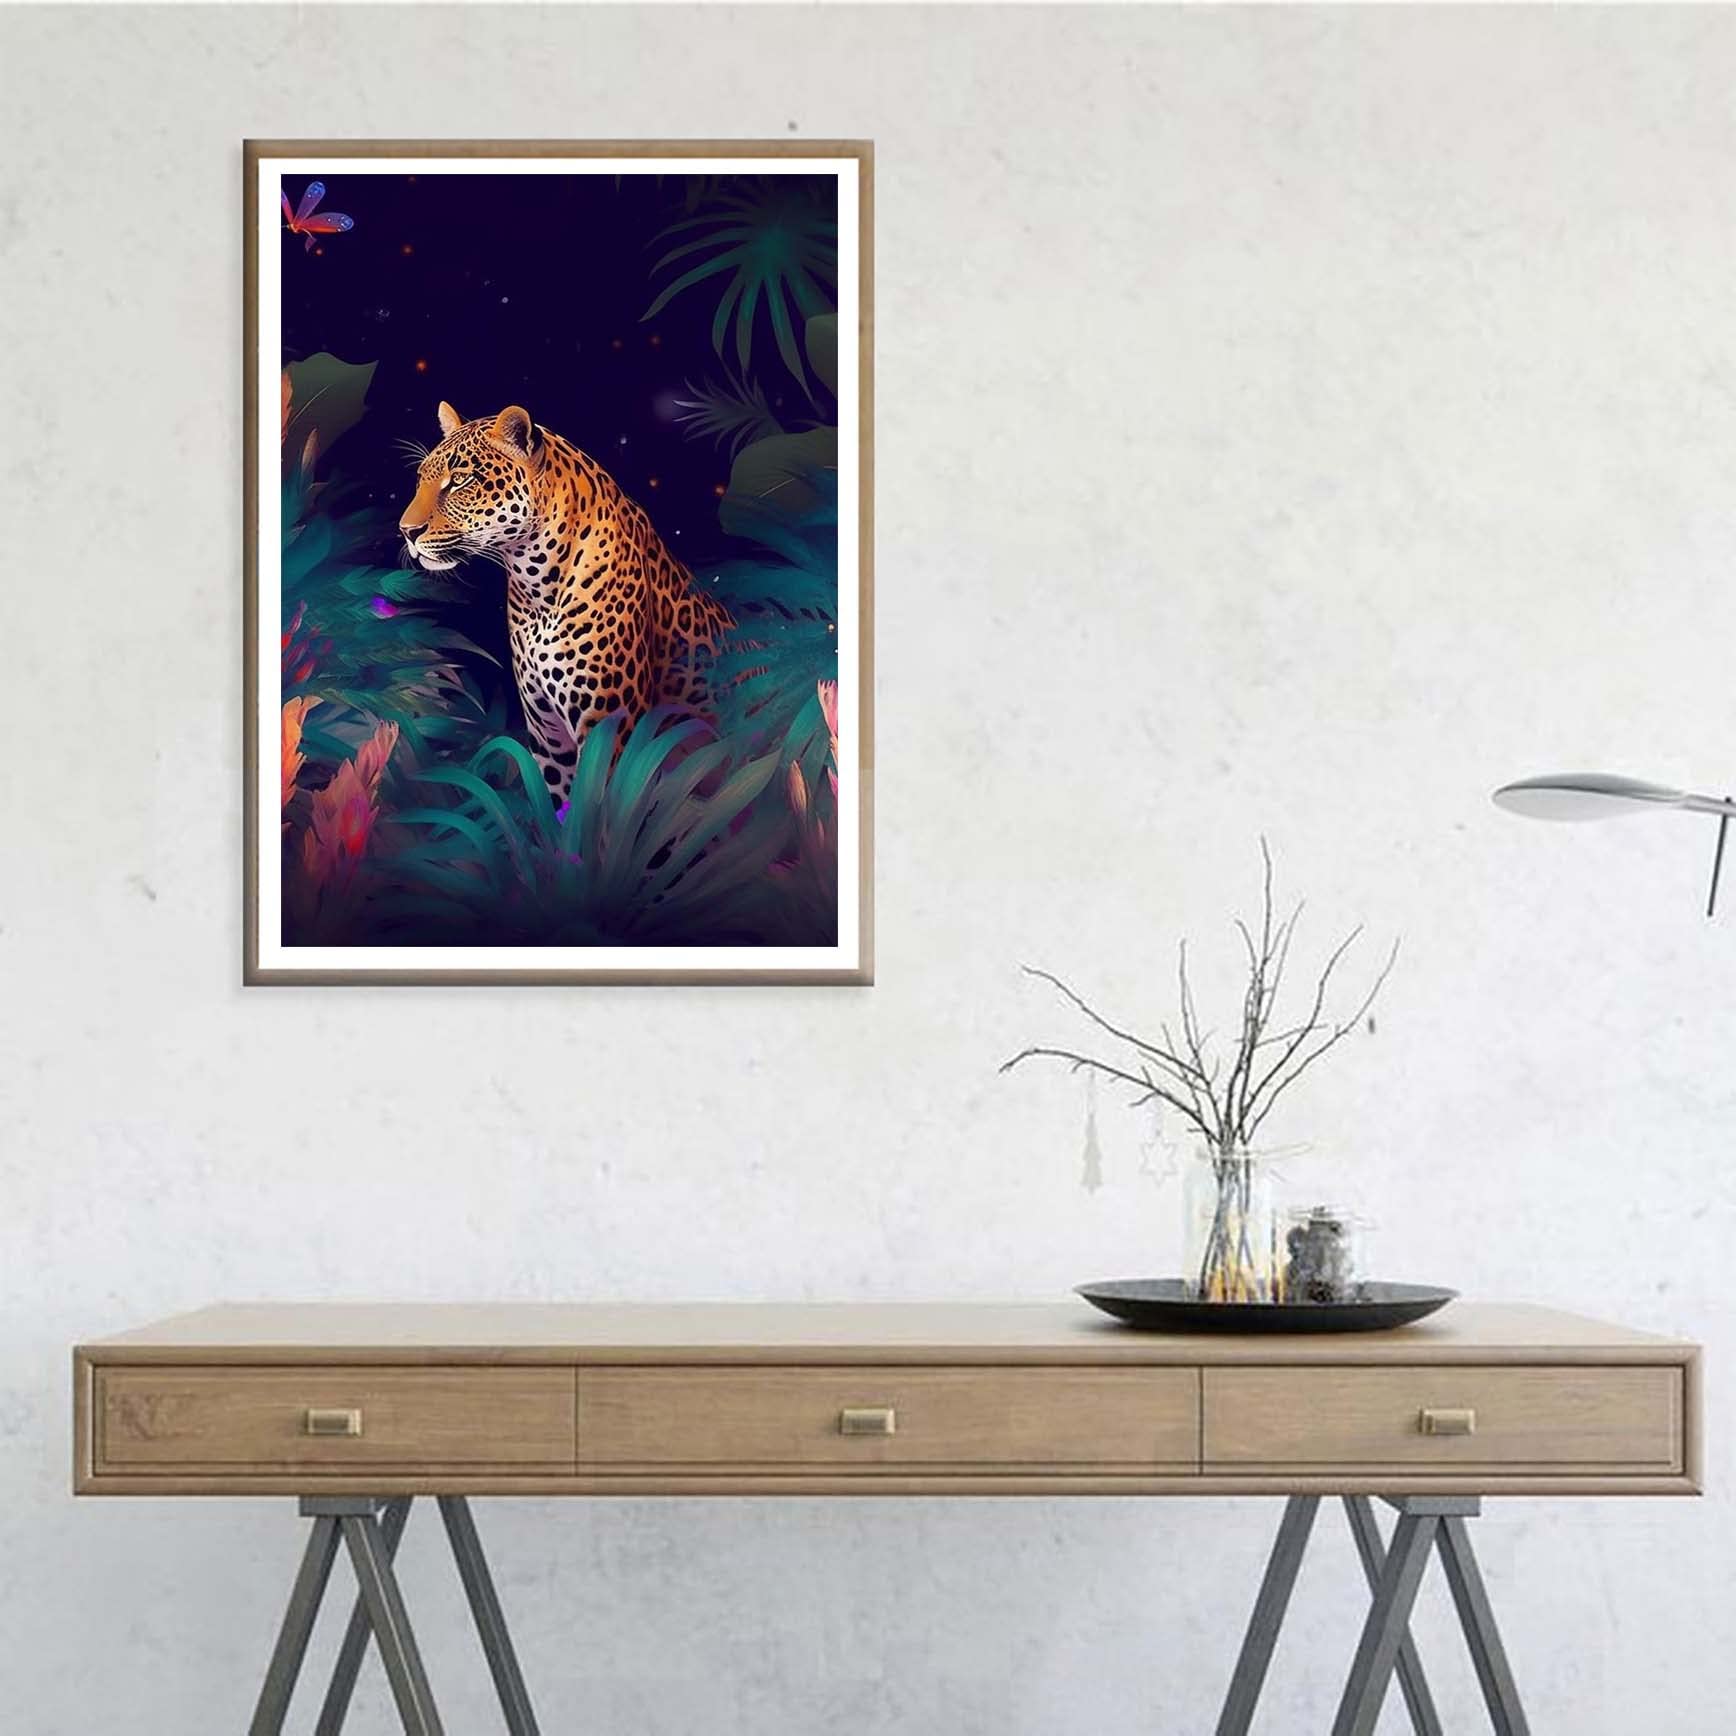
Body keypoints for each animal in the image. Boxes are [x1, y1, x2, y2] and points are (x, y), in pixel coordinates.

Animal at [397, 401, 735, 804]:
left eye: (460, 480)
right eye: (420, 479)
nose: (406, 531)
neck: (536, 582)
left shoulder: (612, 730)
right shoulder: (549, 738)